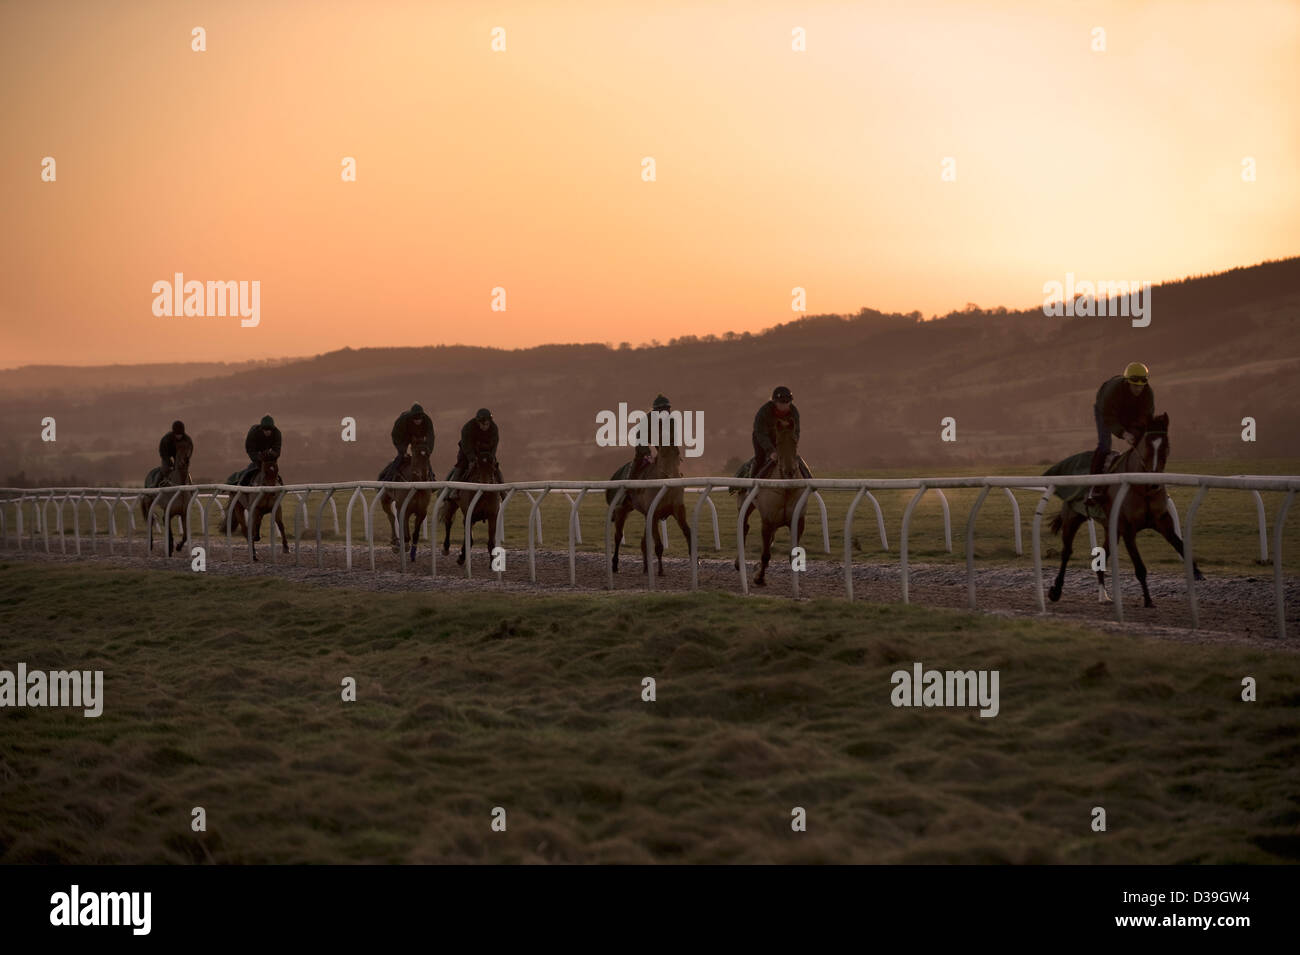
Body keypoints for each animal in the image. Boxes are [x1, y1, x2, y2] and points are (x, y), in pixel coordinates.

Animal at [605, 441, 691, 574]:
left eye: (677, 454)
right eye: (663, 455)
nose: (674, 476)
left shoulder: (679, 511)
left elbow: (688, 533)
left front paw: (695, 560)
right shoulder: (654, 515)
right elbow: (659, 545)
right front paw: (660, 571)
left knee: (642, 542)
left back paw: (645, 568)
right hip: (621, 510)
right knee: (618, 536)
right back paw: (614, 565)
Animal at [738, 415, 806, 587]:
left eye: (795, 441)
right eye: (778, 442)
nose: (789, 471)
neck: (786, 489)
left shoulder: (798, 521)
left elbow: (793, 555)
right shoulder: (767, 522)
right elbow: (765, 554)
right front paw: (759, 577)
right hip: (745, 504)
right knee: (744, 527)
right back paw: (738, 563)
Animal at [1040, 407, 1201, 605]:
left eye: (1165, 446)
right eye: (1148, 446)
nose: (1155, 482)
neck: (1143, 488)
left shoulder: (1163, 522)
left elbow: (1181, 546)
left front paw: (1196, 573)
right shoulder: (1127, 528)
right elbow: (1140, 567)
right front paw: (1148, 600)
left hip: (1110, 527)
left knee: (1101, 557)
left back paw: (1105, 596)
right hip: (1073, 517)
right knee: (1066, 552)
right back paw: (1056, 590)